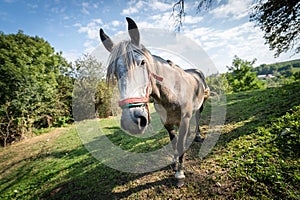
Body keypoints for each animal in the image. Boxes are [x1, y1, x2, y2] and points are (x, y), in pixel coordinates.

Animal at [99, 17, 210, 188]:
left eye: (142, 63)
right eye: (115, 72)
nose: (131, 122)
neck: (172, 93)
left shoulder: (184, 119)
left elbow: (180, 144)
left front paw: (180, 174)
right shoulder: (167, 122)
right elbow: (174, 142)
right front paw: (174, 162)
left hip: (201, 105)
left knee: (197, 118)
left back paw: (197, 136)